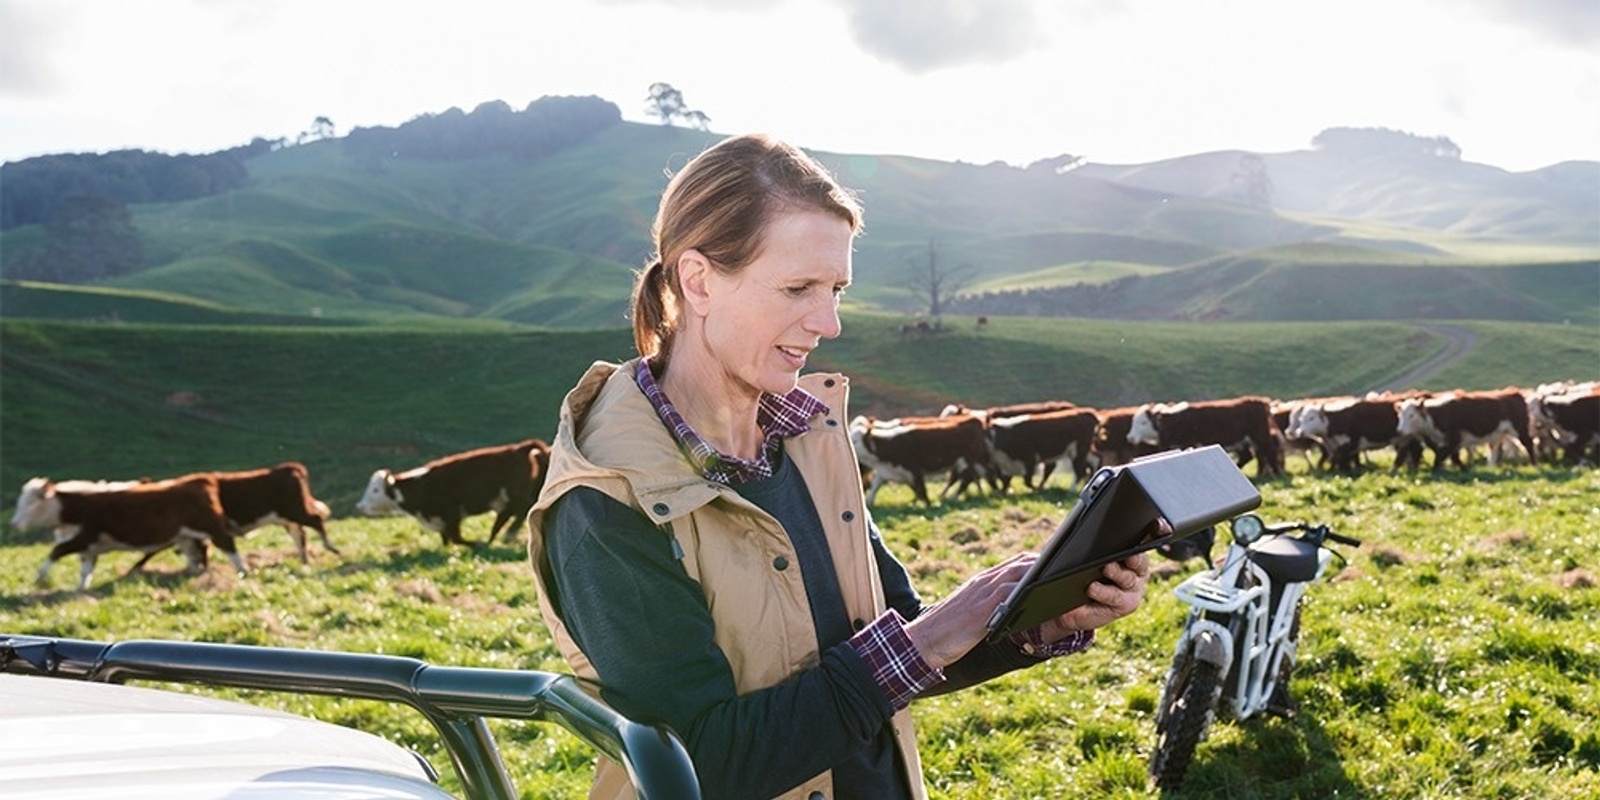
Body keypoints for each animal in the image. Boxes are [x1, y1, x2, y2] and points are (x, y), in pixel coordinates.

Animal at [12, 470, 244, 592]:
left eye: (30, 503)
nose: (14, 523)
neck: (76, 506)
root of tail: (200, 479)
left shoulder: (83, 538)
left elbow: (56, 551)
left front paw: (40, 578)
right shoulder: (89, 547)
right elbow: (86, 569)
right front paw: (80, 589)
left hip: (212, 527)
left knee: (228, 545)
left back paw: (243, 571)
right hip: (185, 536)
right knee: (198, 553)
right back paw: (197, 574)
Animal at [355, 441, 550, 547]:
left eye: (375, 490)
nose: (360, 506)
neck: (421, 485)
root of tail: (521, 448)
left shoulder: (451, 514)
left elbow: (456, 538)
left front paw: (475, 544)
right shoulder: (442, 520)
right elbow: (447, 540)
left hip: (516, 495)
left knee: (524, 509)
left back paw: (507, 534)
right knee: (506, 517)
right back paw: (496, 538)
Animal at [851, 416, 985, 502]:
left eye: (855, 440)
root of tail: (973, 419)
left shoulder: (914, 469)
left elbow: (921, 489)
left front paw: (927, 504)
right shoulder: (886, 470)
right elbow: (875, 485)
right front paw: (868, 501)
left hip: (965, 461)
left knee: (966, 479)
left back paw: (953, 497)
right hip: (960, 463)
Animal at [1126, 396, 1286, 476]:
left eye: (1143, 422)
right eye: (1134, 421)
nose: (1130, 437)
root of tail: (1260, 401)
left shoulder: (1188, 443)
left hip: (1259, 435)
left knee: (1268, 452)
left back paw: (1277, 474)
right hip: (1244, 441)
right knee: (1250, 456)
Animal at [1401, 387, 1536, 467]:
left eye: (1411, 415)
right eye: (1401, 414)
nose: (1400, 430)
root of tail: (1514, 392)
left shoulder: (1454, 438)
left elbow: (1441, 456)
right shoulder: (1449, 442)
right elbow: (1452, 456)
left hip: (1520, 429)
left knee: (1528, 444)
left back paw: (1534, 464)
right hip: (1499, 433)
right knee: (1495, 448)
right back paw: (1491, 466)